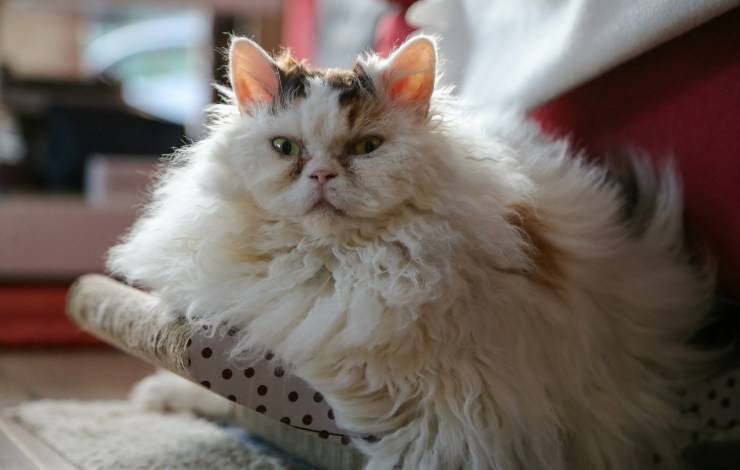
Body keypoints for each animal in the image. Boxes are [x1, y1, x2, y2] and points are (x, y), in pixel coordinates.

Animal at [107, 36, 712, 470]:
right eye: (285, 148)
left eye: (366, 148)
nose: (321, 175)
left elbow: (431, 445)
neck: (333, 266)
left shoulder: (470, 403)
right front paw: (170, 395)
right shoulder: (271, 329)